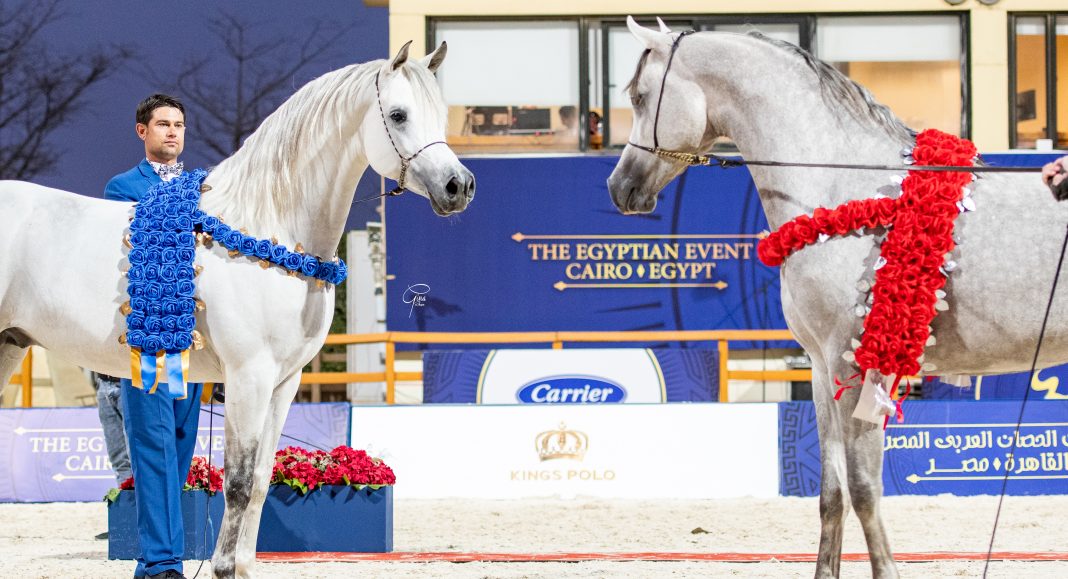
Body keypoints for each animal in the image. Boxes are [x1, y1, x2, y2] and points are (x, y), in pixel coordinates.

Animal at [0, 41, 476, 579]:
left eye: (440, 113)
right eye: (398, 115)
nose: (459, 186)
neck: (267, 224)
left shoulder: (284, 381)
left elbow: (264, 479)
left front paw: (244, 566)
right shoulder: (249, 376)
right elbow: (240, 481)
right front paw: (225, 567)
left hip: (9, 345)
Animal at [610, 15, 1068, 579]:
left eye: (640, 96)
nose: (620, 188)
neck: (843, 189)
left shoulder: (859, 365)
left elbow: (865, 488)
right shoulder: (822, 369)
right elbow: (832, 494)